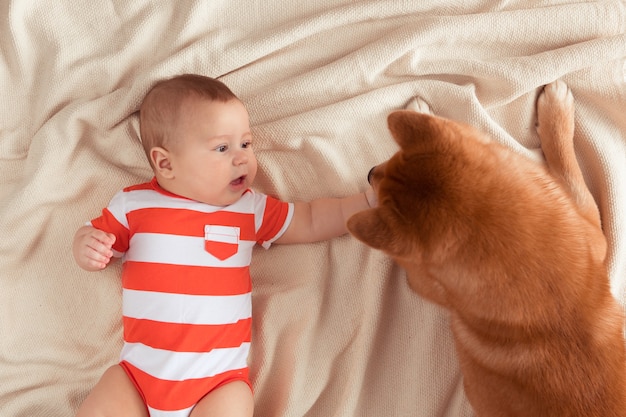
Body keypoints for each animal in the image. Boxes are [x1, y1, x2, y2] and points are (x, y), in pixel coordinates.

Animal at [346, 79, 624, 414]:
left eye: (391, 160)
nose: (370, 172)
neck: (557, 301)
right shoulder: (592, 234)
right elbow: (569, 172)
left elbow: (568, 171)